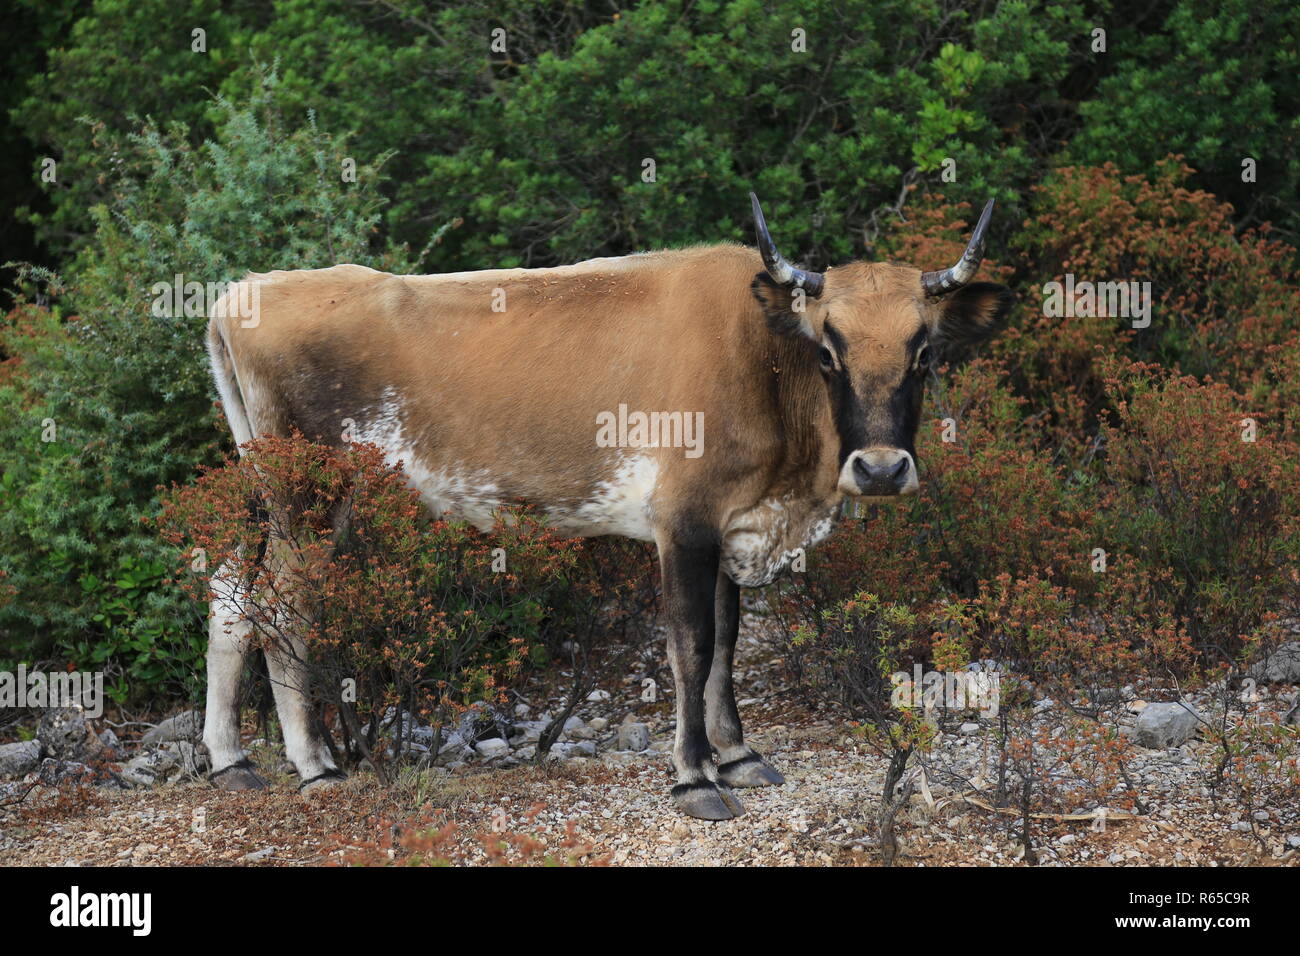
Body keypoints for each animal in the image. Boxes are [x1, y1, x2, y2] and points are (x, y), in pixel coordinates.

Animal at [205, 195, 1013, 822]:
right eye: (828, 350)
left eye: (924, 352)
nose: (880, 468)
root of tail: (244, 290)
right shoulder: (684, 521)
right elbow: (691, 644)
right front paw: (694, 777)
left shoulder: (731, 522)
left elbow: (728, 641)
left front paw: (738, 753)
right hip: (311, 496)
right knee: (282, 604)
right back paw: (315, 766)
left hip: (266, 495)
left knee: (229, 591)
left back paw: (231, 761)